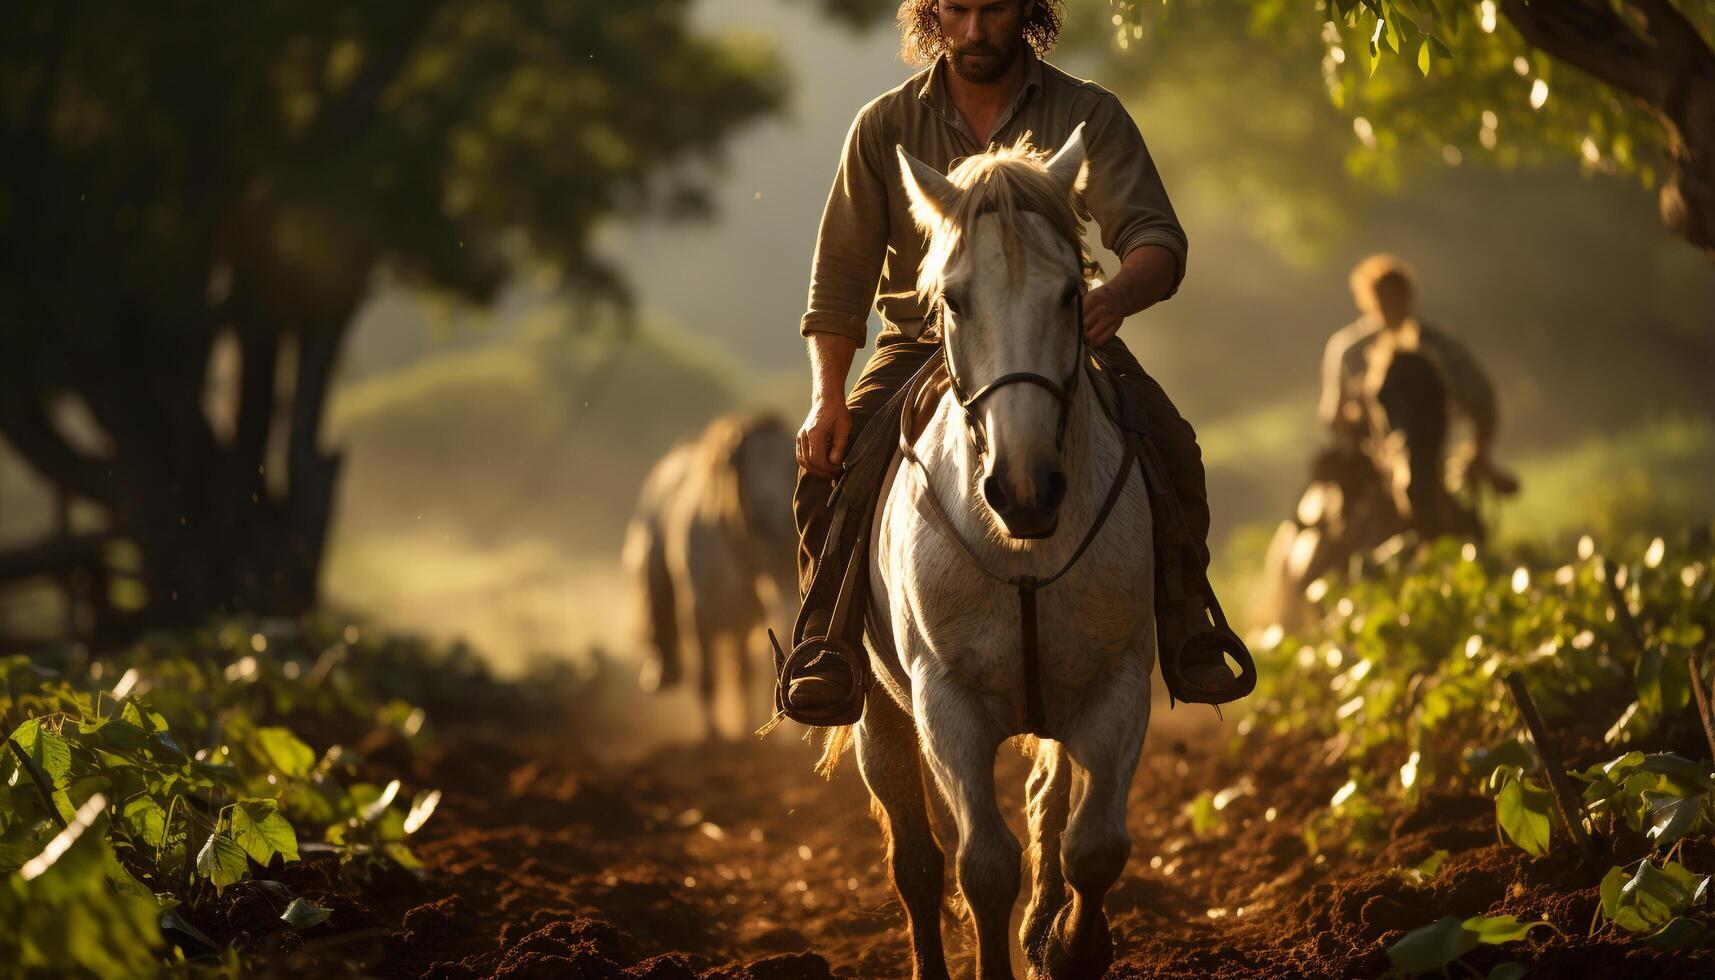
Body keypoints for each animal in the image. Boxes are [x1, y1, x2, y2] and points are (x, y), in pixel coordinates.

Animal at [836, 128, 1159, 980]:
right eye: (954, 298)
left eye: (1072, 295)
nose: (1024, 488)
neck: (1022, 552)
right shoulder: (945, 702)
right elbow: (981, 863)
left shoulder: (1117, 688)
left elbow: (1093, 846)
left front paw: (1072, 949)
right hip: (877, 715)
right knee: (915, 860)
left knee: (1047, 807)